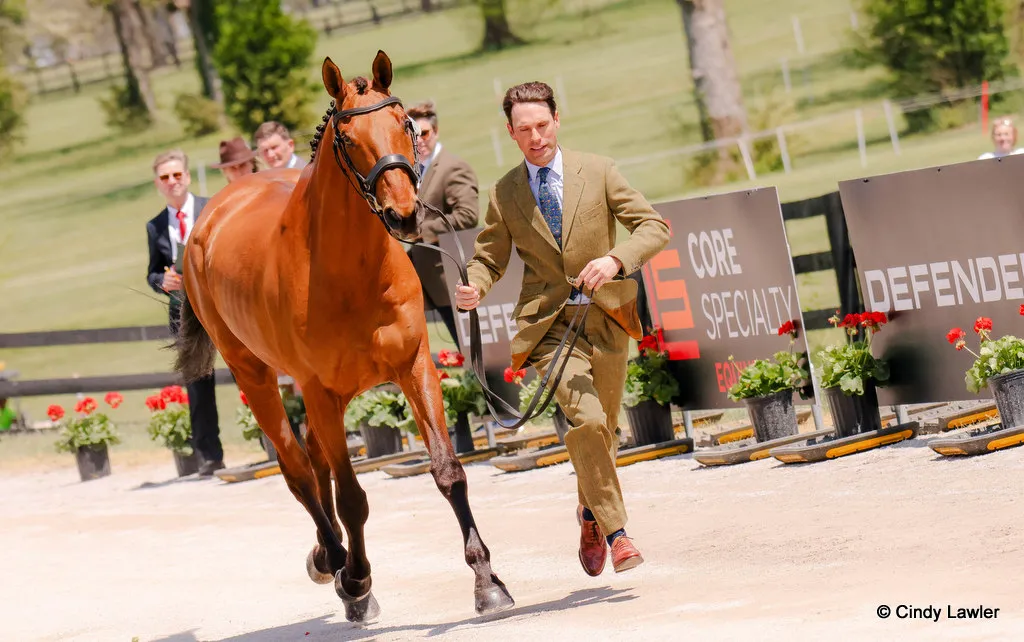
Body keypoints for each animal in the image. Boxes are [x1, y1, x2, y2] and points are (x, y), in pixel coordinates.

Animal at [172, 50, 515, 623]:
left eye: (407, 125)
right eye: (349, 138)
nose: (405, 215)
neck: (351, 271)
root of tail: (213, 212)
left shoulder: (413, 366)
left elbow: (449, 471)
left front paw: (486, 581)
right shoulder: (317, 390)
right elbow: (353, 496)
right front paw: (355, 578)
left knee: (313, 458)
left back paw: (330, 560)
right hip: (258, 376)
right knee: (297, 467)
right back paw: (335, 561)